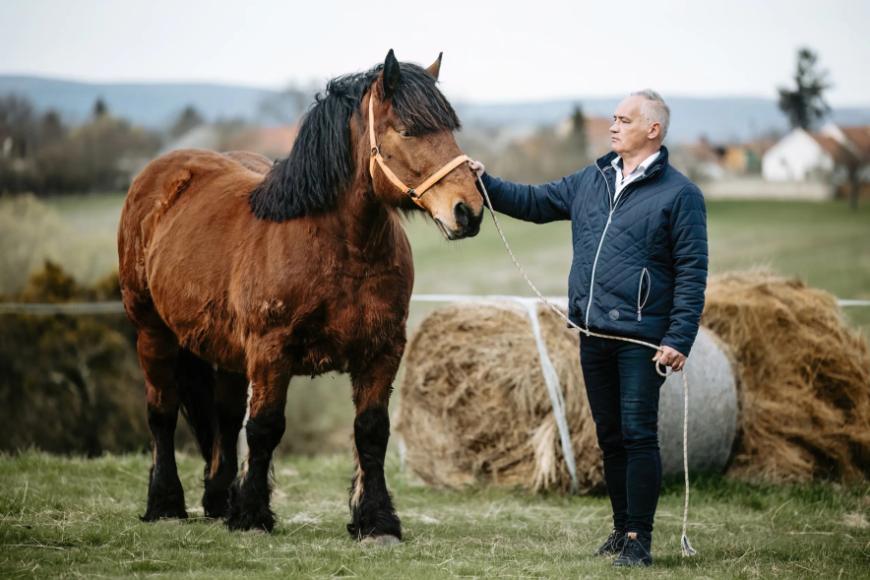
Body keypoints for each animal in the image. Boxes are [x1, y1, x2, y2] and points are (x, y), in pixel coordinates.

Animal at [116, 49, 488, 544]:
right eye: (408, 129)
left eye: (450, 128)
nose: (469, 211)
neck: (340, 246)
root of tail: (159, 175)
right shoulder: (271, 350)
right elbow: (265, 428)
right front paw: (253, 515)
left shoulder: (383, 350)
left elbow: (371, 432)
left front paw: (376, 521)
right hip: (153, 332)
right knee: (162, 412)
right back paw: (165, 504)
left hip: (226, 351)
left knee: (225, 416)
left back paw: (219, 501)